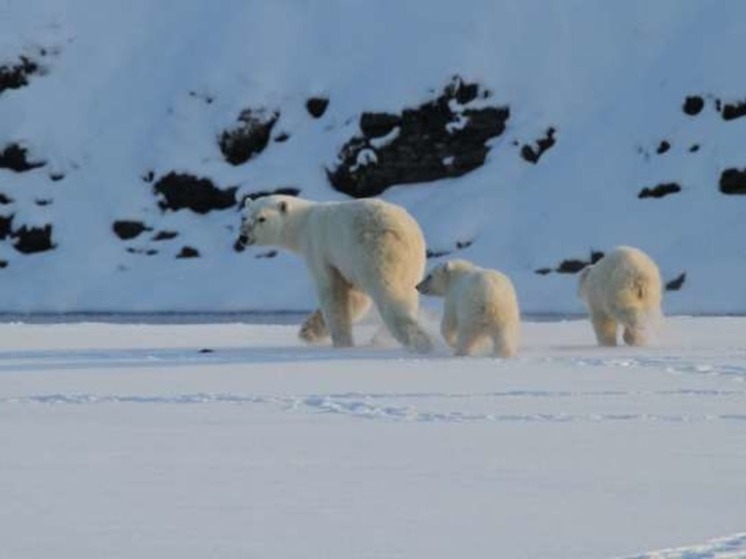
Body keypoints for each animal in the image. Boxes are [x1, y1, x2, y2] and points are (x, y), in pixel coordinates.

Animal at [232, 196, 430, 354]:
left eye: (262, 218)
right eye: (244, 217)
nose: (243, 237)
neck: (304, 223)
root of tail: (402, 232)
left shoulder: (320, 249)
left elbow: (332, 293)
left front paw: (341, 343)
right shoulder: (346, 263)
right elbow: (356, 297)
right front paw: (308, 331)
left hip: (373, 251)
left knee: (389, 293)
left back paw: (420, 341)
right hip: (414, 262)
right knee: (408, 294)